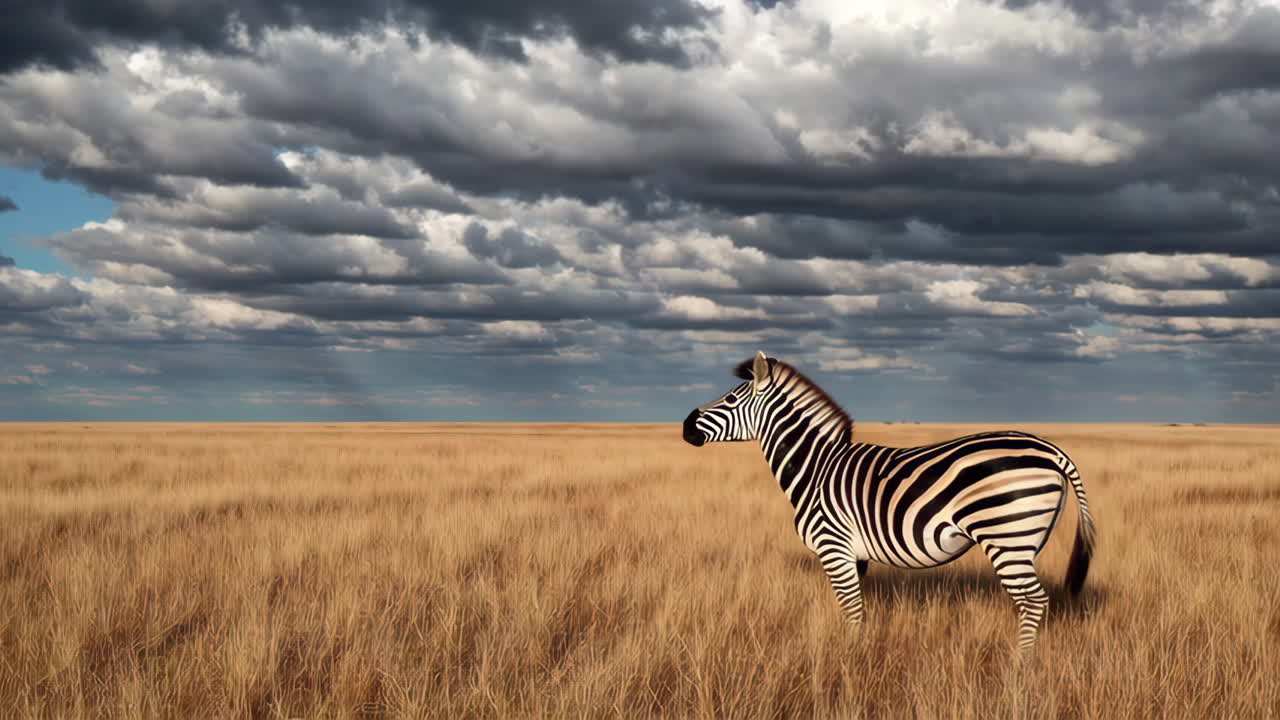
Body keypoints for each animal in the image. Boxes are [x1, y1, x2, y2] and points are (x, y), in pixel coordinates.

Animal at [682, 351, 1097, 650]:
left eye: (730, 398)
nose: (685, 426)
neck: (817, 467)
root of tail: (1050, 449)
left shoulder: (834, 547)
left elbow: (851, 611)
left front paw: (846, 662)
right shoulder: (857, 556)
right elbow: (858, 610)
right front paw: (857, 654)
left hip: (1006, 537)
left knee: (1034, 601)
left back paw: (1020, 663)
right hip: (1026, 541)